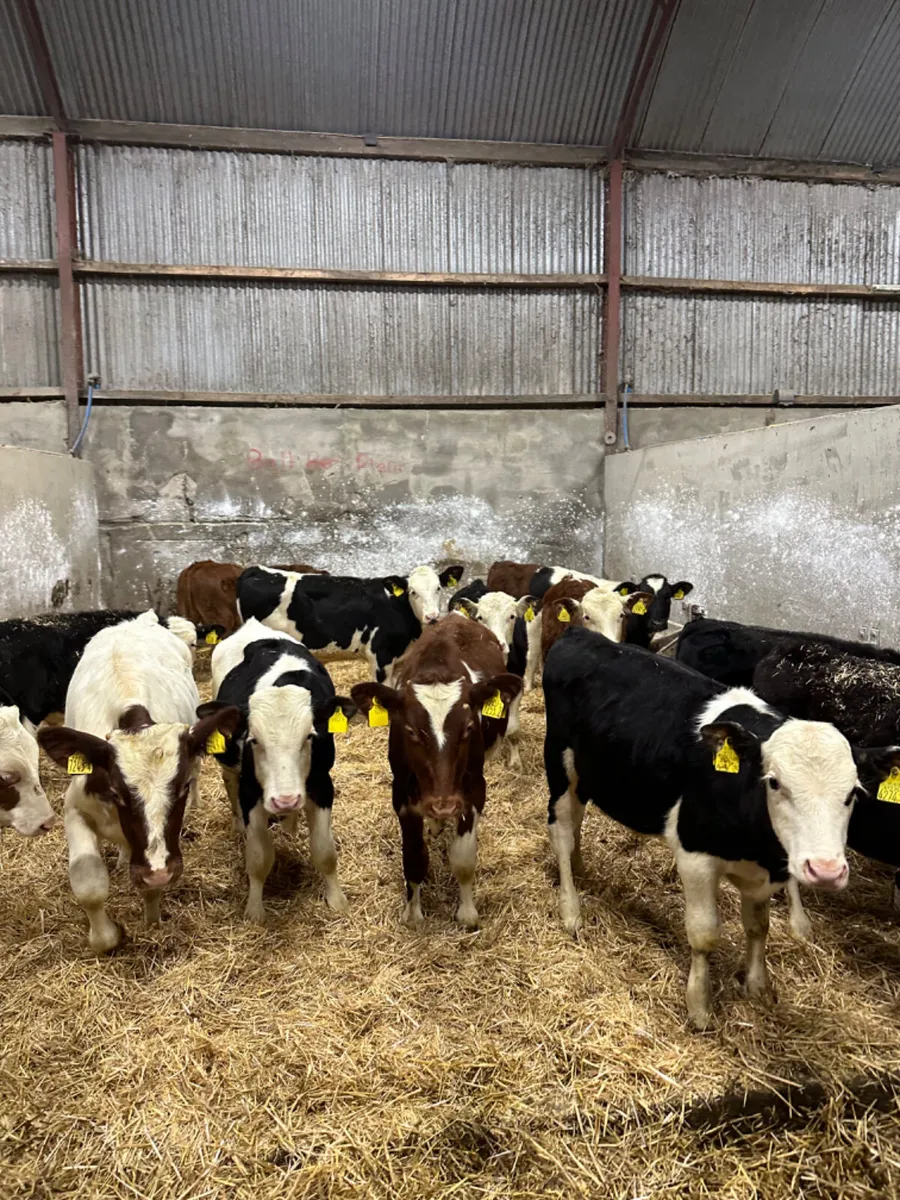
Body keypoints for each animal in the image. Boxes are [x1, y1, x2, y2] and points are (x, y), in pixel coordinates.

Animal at [38, 615, 240, 953]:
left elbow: (150, 885)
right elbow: (88, 881)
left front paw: (152, 921)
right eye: (116, 793)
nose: (158, 872)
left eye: (182, 788)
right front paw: (106, 937)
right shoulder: (75, 807)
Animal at [201, 620, 352, 922]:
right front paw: (254, 910)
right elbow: (259, 857)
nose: (285, 800)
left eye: (309, 736)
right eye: (253, 740)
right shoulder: (251, 791)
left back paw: (289, 827)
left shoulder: (322, 784)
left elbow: (324, 850)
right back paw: (240, 825)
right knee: (230, 783)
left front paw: (337, 900)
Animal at [350, 614, 522, 927]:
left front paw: (467, 913)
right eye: (410, 731)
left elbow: (463, 858)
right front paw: (413, 913)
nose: (444, 805)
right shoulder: (402, 796)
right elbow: (413, 858)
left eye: (468, 727)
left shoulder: (474, 791)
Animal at [543, 628, 858, 1029]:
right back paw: (571, 910)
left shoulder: (764, 876)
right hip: (559, 762)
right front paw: (700, 1005)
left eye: (853, 792)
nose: (826, 870)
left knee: (577, 820)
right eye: (774, 782)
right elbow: (704, 935)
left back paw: (581, 870)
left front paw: (758, 985)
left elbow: (759, 927)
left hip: (588, 773)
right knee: (561, 829)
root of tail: (581, 634)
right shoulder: (695, 856)